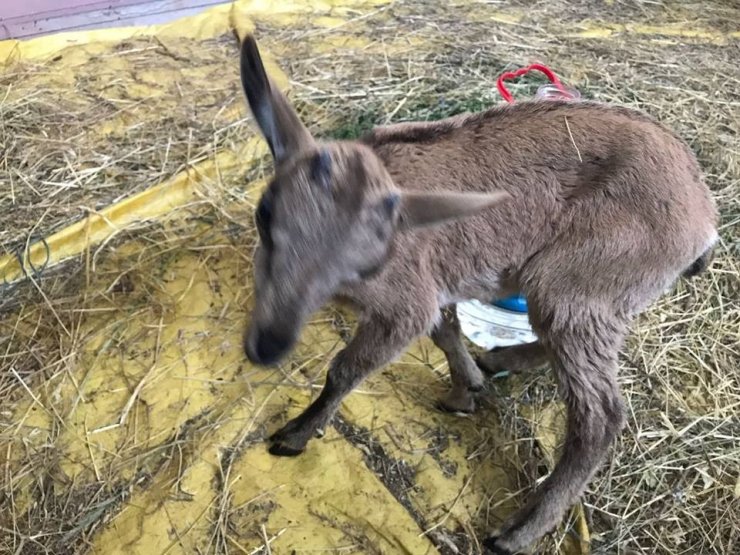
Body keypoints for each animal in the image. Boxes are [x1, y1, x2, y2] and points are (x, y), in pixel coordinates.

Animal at [237, 37, 716, 552]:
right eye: (264, 213)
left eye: (368, 254)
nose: (267, 345)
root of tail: (704, 222)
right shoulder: (435, 281)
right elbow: (445, 331)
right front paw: (465, 389)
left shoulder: (406, 300)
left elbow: (347, 368)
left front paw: (293, 436)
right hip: (591, 294)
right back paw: (498, 361)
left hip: (577, 281)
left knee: (601, 415)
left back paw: (518, 531)